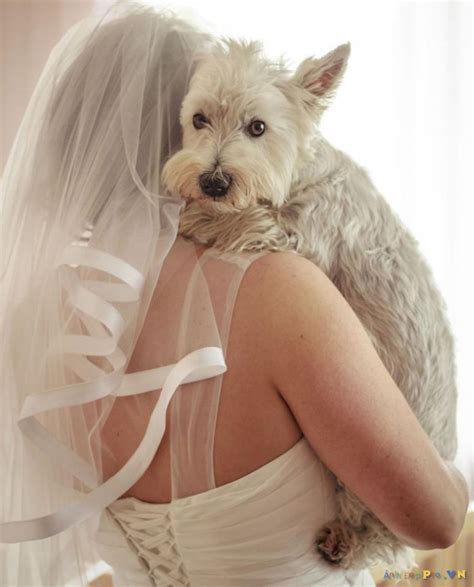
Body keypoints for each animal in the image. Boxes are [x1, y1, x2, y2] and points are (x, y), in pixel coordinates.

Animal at [161, 40, 458, 568]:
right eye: (198, 119)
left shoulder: (298, 236)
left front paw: (193, 215)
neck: (297, 176)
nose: (213, 182)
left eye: (258, 127)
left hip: (371, 489)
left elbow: (242, 220)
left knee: (377, 530)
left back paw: (343, 541)